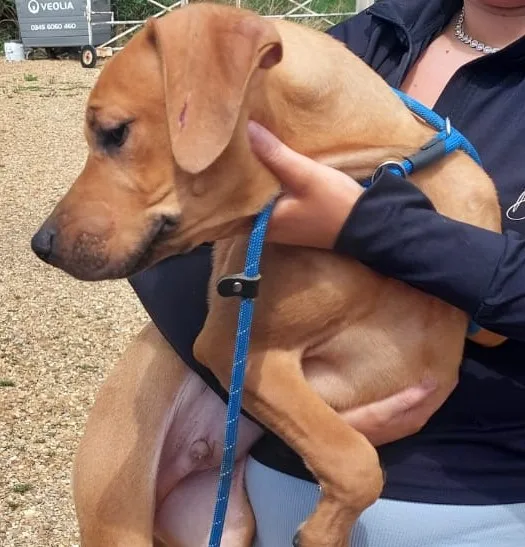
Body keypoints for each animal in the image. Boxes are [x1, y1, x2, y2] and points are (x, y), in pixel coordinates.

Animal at [29, 4, 504, 547]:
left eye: (115, 132)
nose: (40, 245)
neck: (381, 169)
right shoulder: (237, 350)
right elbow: (357, 459)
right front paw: (321, 533)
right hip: (120, 517)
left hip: (226, 526)